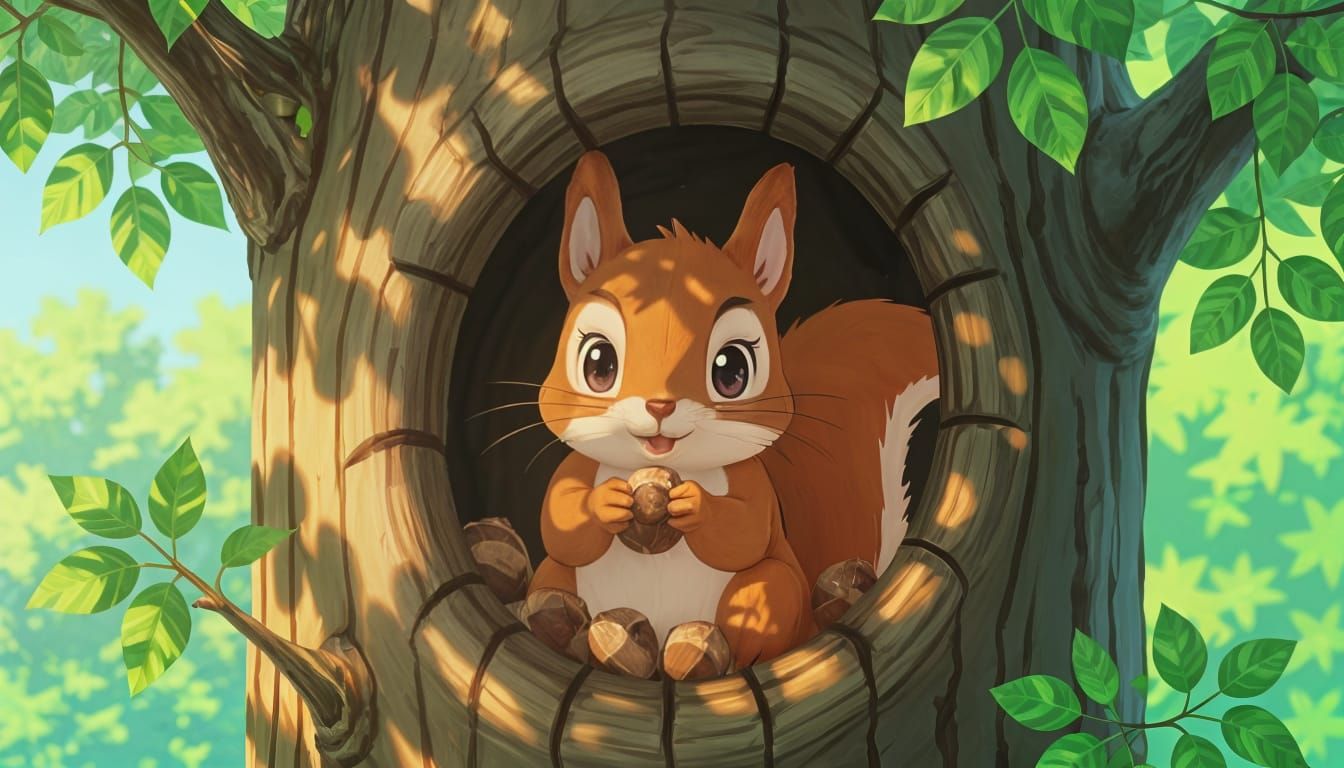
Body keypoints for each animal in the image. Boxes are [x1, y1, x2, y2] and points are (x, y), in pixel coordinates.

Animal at [528, 151, 940, 670]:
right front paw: (607, 502)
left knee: (761, 603)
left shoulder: (754, 485)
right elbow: (559, 524)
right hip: (553, 577)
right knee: (551, 579)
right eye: (598, 363)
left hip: (774, 593)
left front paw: (695, 505)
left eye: (733, 370)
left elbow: (743, 532)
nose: (660, 404)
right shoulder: (575, 469)